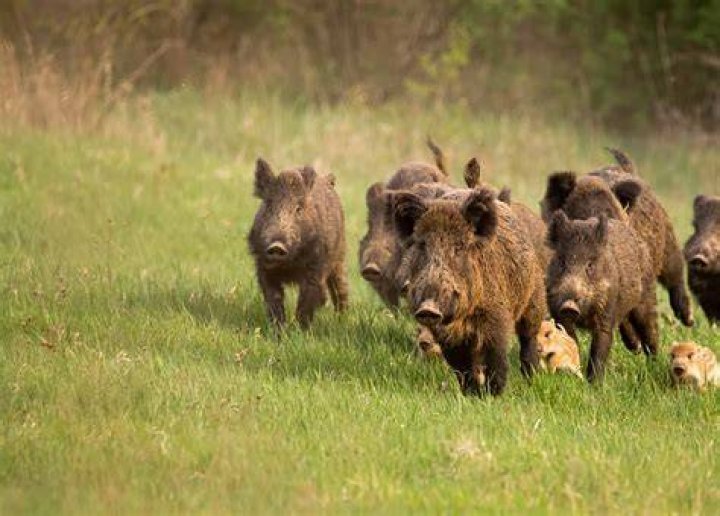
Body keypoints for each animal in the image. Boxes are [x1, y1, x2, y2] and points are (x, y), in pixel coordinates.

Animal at [248, 158, 348, 328]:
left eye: (299, 209)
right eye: (269, 206)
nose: (277, 246)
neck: (289, 266)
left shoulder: (316, 269)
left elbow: (306, 301)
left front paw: (300, 330)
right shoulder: (264, 268)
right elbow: (273, 299)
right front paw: (278, 330)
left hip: (339, 256)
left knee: (340, 287)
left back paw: (342, 319)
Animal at [392, 187, 546, 395]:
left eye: (459, 247)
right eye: (423, 245)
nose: (428, 309)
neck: (462, 318)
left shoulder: (496, 317)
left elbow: (495, 356)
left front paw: (493, 393)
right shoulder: (447, 337)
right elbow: (461, 366)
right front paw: (472, 393)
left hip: (534, 299)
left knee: (528, 338)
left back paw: (533, 377)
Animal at [546, 211, 659, 381]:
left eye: (590, 265)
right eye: (562, 262)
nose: (569, 306)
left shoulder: (606, 311)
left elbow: (600, 346)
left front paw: (594, 383)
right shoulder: (557, 312)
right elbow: (570, 339)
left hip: (646, 298)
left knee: (650, 331)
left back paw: (654, 364)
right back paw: (636, 348)